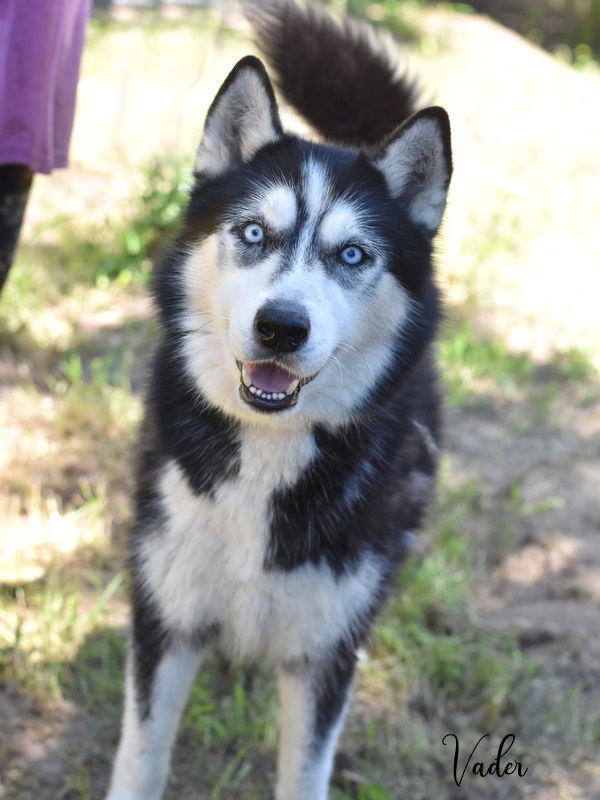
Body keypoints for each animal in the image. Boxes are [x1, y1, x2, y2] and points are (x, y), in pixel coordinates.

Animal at [106, 1, 450, 800]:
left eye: (352, 254)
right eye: (255, 233)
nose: (281, 327)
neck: (266, 460)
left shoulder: (326, 652)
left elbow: (304, 771)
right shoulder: (165, 616)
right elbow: (141, 757)